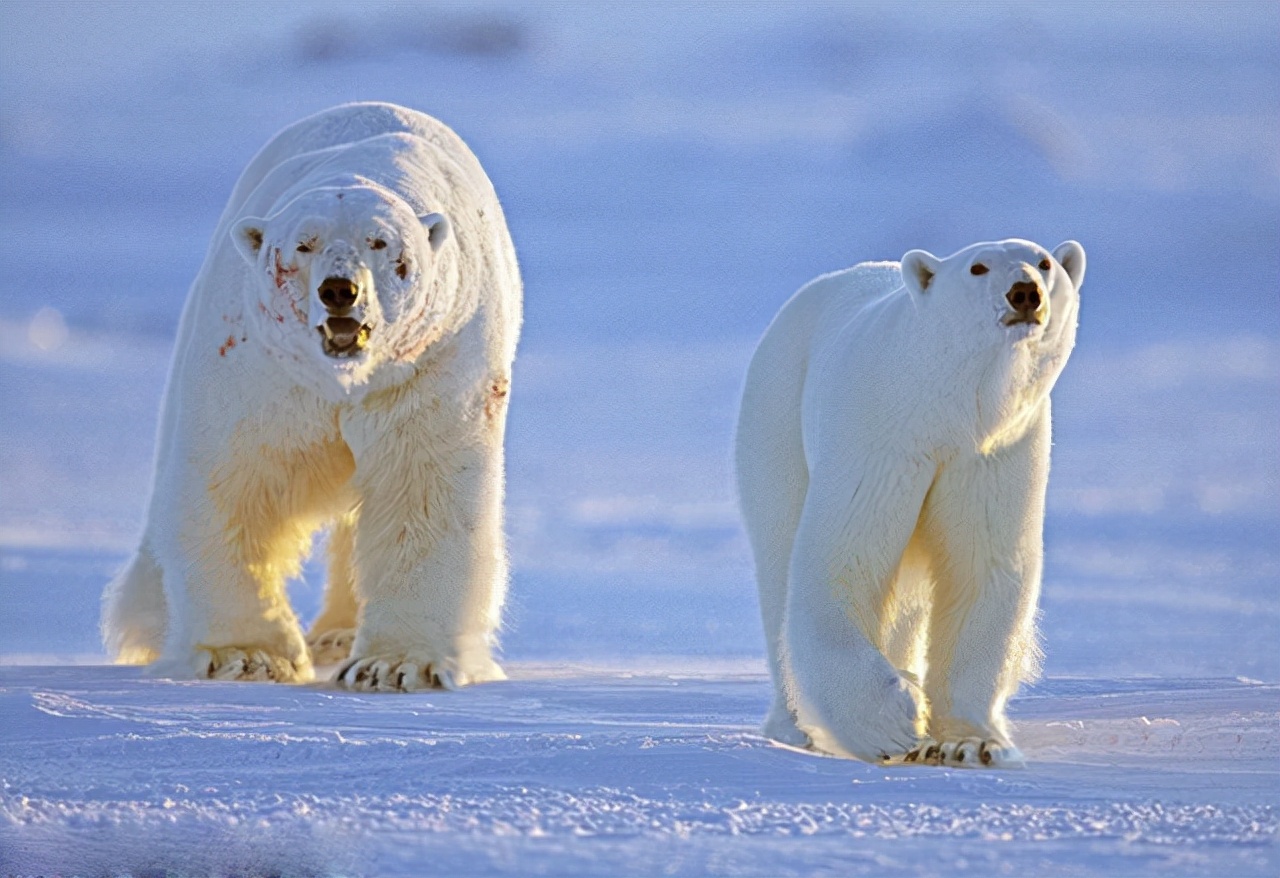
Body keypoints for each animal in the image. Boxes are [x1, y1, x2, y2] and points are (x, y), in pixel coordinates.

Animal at [100, 102, 522, 692]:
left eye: (380, 243)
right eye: (303, 245)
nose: (339, 290)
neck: (343, 376)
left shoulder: (432, 361)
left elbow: (423, 490)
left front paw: (394, 665)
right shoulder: (261, 370)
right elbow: (238, 478)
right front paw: (245, 656)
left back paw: (339, 635)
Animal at [735, 238, 1085, 766]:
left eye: (1044, 262)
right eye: (977, 266)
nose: (1025, 292)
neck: (949, 405)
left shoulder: (994, 451)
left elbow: (981, 570)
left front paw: (971, 742)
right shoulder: (884, 436)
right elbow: (844, 557)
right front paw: (893, 721)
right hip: (777, 417)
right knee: (778, 560)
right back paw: (793, 727)